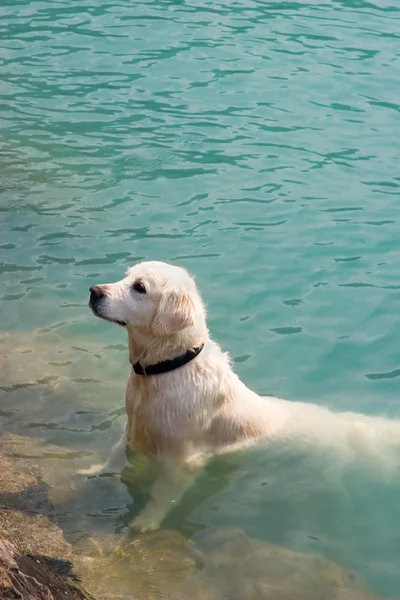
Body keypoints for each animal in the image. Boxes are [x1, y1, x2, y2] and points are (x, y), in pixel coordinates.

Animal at [83, 260, 400, 532]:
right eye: (125, 276)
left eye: (140, 287)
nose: (94, 291)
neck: (168, 366)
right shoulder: (133, 426)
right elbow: (116, 453)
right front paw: (95, 469)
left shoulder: (181, 458)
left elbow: (162, 494)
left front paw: (146, 521)